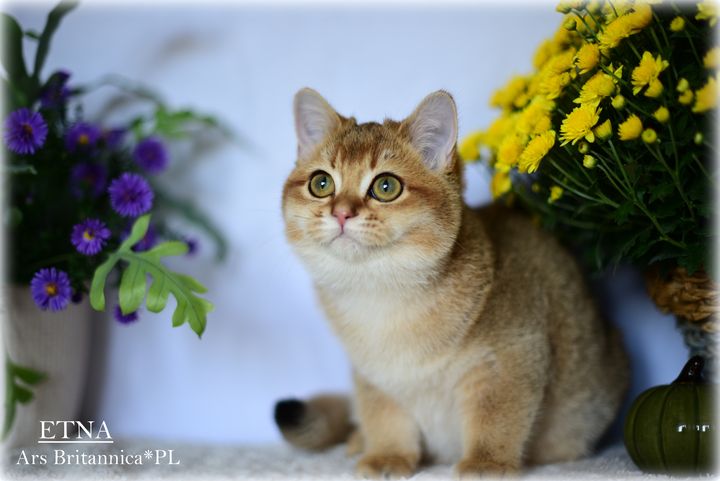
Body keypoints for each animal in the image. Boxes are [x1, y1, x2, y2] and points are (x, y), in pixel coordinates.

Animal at [276, 88, 629, 478]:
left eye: (386, 186)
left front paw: (486, 463)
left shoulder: (510, 358)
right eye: (321, 183)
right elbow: (383, 417)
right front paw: (388, 455)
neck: (384, 301)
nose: (341, 213)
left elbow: (496, 416)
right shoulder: (373, 378)